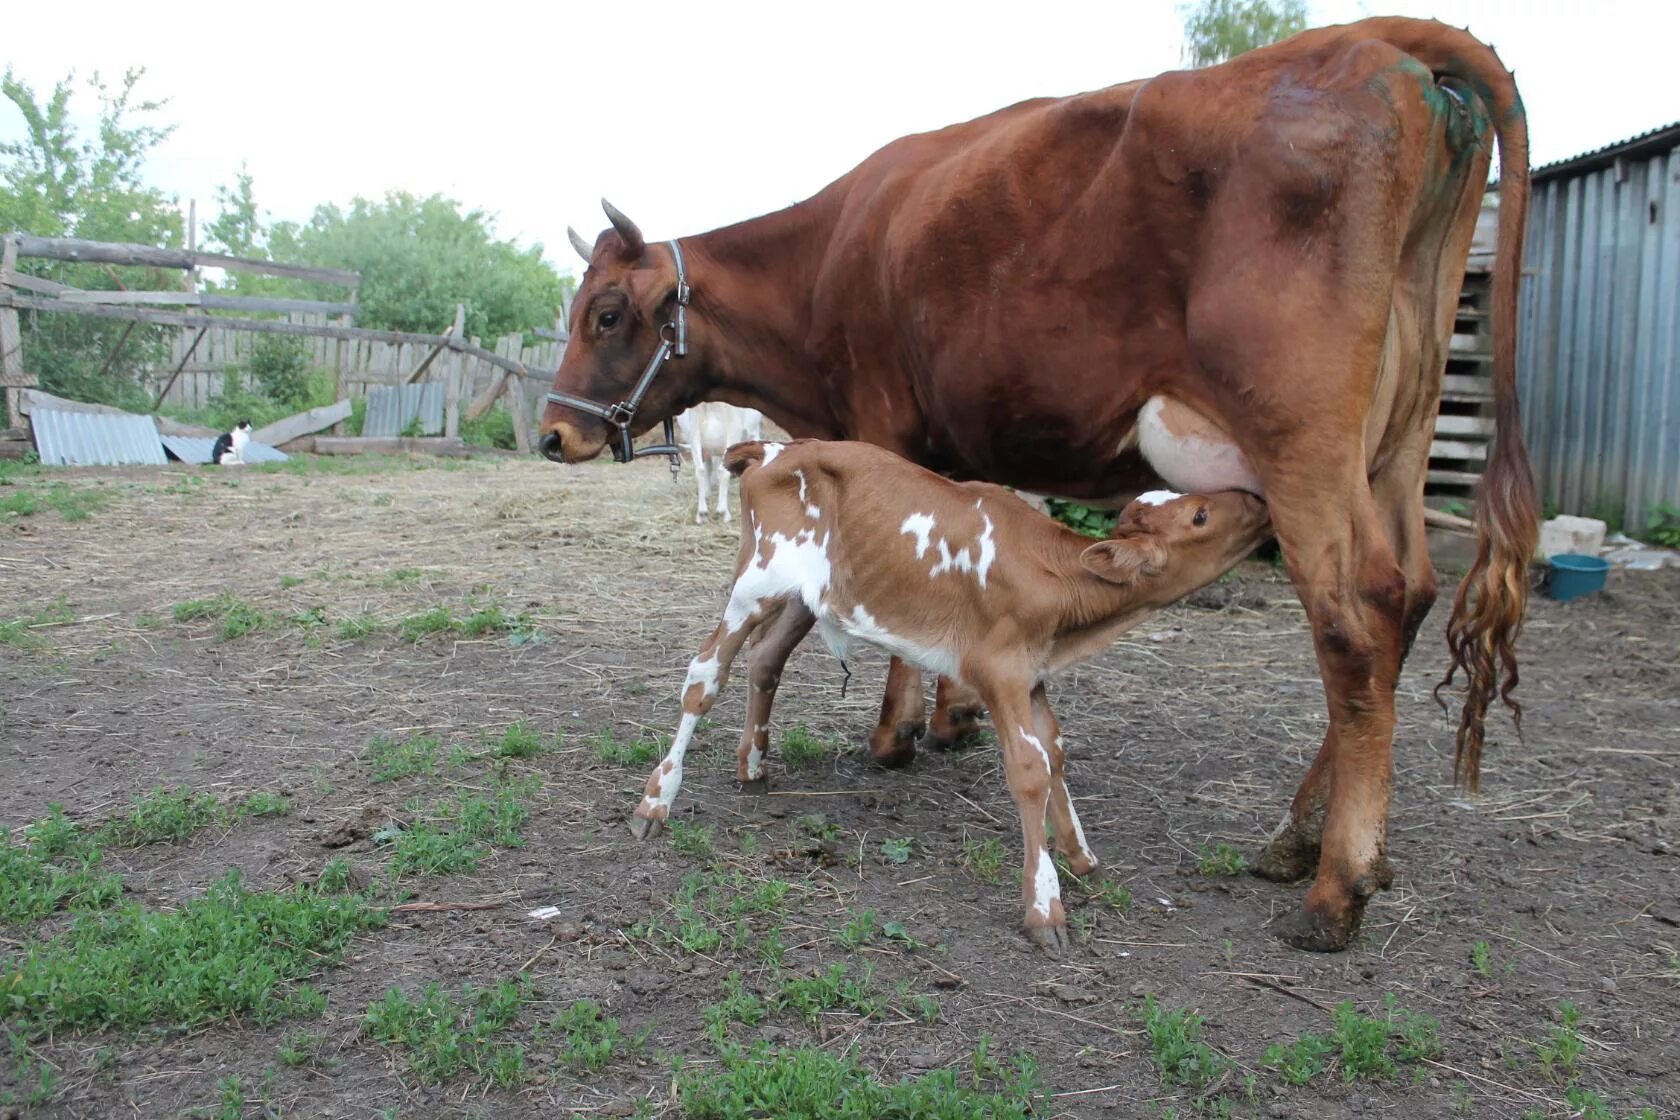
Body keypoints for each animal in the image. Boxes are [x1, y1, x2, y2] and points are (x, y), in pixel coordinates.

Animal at [635, 436, 1263, 953]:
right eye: (1202, 514)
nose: (1255, 501)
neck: (1058, 582)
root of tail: (770, 449)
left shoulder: (1031, 674)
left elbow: (1055, 750)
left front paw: (1082, 856)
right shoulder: (998, 669)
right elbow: (1029, 768)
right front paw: (1045, 908)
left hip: (804, 596)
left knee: (765, 660)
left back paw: (753, 765)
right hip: (755, 580)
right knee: (703, 677)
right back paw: (656, 802)